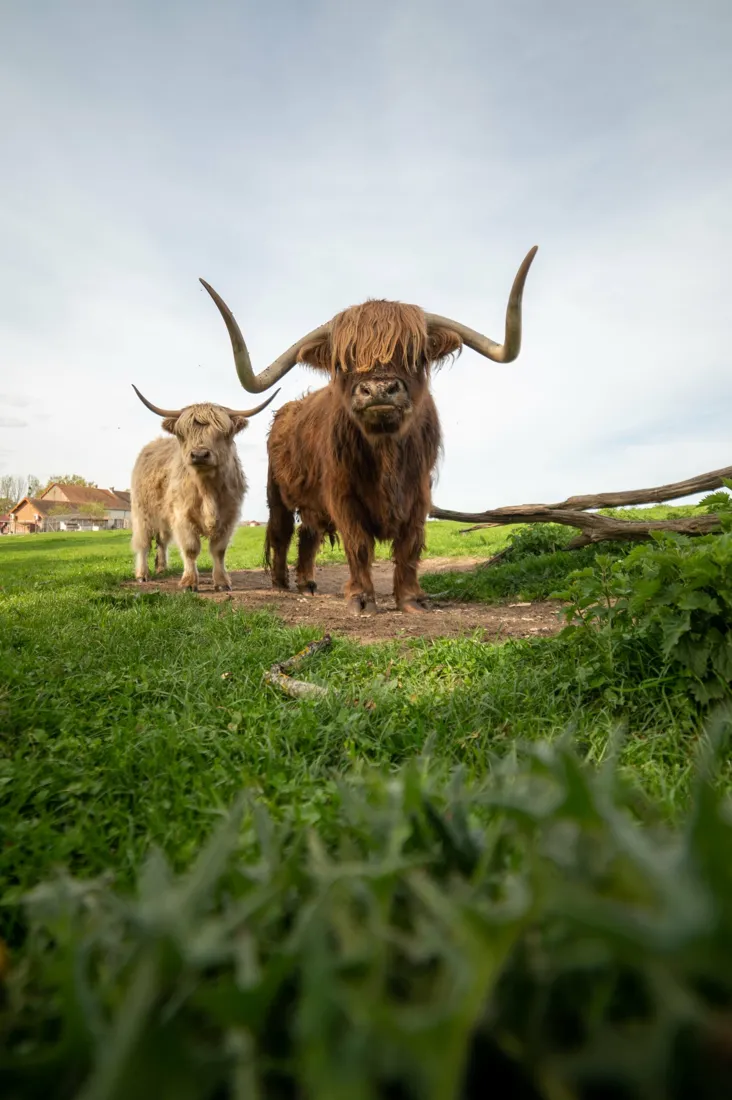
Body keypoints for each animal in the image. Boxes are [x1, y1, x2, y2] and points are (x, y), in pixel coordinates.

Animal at [129, 387, 278, 591]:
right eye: (183, 433)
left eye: (222, 432)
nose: (199, 455)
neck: (207, 489)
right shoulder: (182, 517)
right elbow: (190, 549)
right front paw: (189, 582)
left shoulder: (229, 515)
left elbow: (219, 550)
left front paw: (222, 581)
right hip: (142, 514)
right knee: (142, 544)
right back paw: (142, 574)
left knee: (162, 540)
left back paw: (162, 568)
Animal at [199, 247, 537, 614]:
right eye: (341, 362)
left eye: (415, 355)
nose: (378, 390)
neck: (386, 449)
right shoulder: (343, 494)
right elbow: (358, 544)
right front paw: (361, 599)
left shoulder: (419, 493)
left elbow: (409, 544)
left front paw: (411, 599)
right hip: (277, 493)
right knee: (282, 532)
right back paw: (280, 583)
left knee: (308, 535)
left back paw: (306, 584)